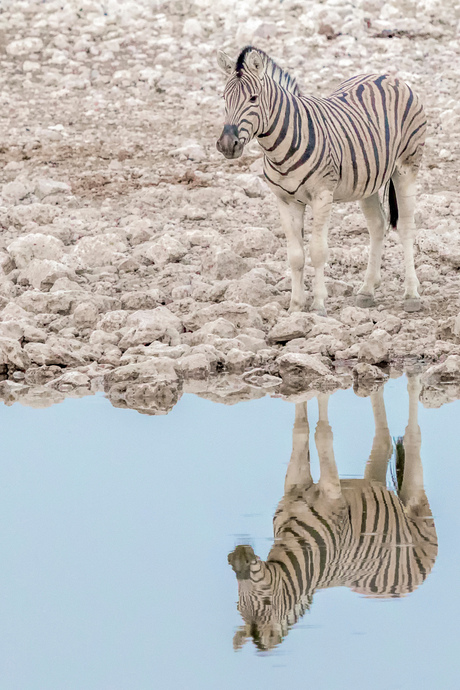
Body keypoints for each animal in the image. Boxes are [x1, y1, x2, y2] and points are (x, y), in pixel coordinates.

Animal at [217, 47, 426, 314]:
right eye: (224, 98)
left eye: (253, 98)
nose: (226, 145)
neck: (280, 147)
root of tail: (386, 76)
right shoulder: (285, 201)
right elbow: (295, 255)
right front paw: (295, 307)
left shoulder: (322, 196)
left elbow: (317, 251)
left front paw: (318, 305)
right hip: (368, 179)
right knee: (378, 225)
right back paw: (367, 291)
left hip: (406, 168)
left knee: (407, 226)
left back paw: (411, 295)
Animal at [228, 376, 436, 652]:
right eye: (239, 603)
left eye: (266, 603)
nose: (236, 558)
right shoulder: (294, 487)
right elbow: (300, 429)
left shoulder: (333, 494)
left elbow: (322, 434)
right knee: (383, 440)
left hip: (416, 503)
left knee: (413, 431)